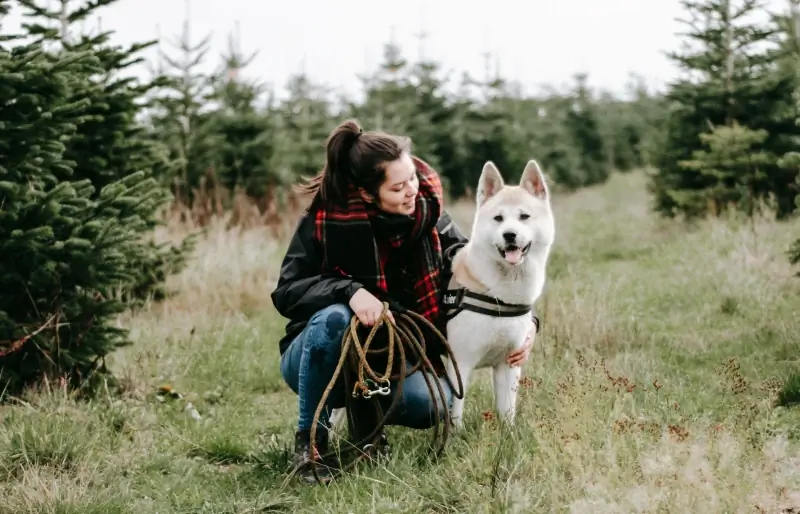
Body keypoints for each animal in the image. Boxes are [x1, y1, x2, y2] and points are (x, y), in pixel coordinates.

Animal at [440, 160, 552, 428]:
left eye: (524, 216)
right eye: (498, 218)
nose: (509, 234)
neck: (500, 294)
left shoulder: (508, 365)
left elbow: (507, 411)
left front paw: (509, 434)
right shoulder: (460, 364)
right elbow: (456, 412)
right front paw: (456, 438)